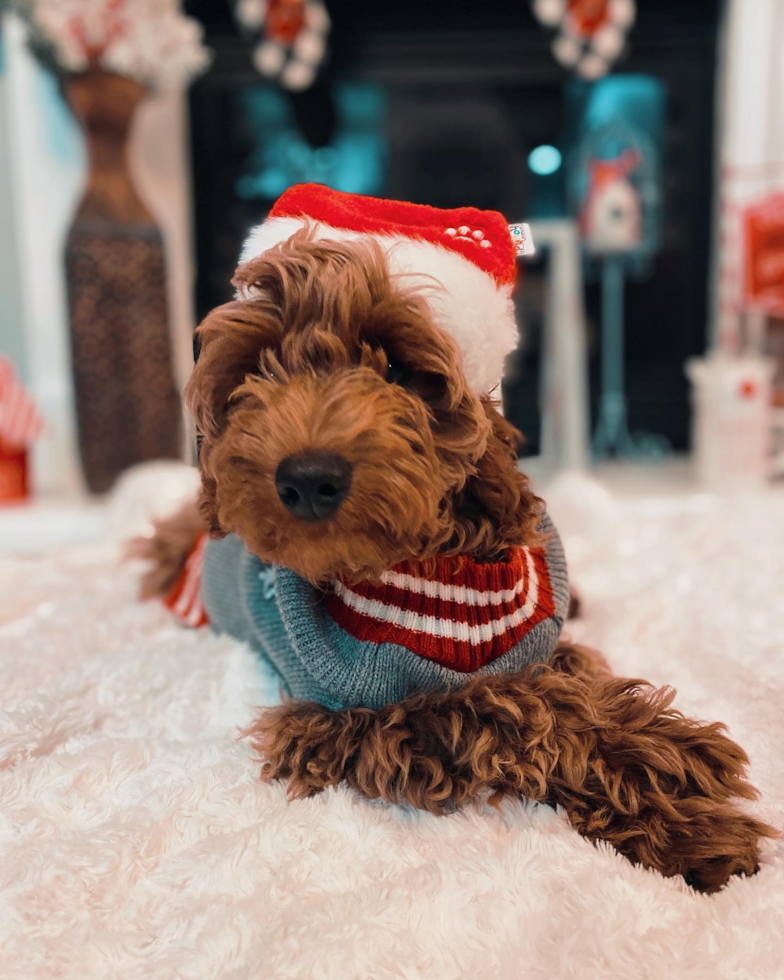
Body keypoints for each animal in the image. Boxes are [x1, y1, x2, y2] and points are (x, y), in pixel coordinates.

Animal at [138, 232, 776, 896]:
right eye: (253, 372)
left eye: (397, 368)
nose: (308, 478)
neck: (431, 576)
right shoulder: (347, 723)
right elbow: (512, 708)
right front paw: (682, 794)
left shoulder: (537, 636)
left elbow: (565, 674)